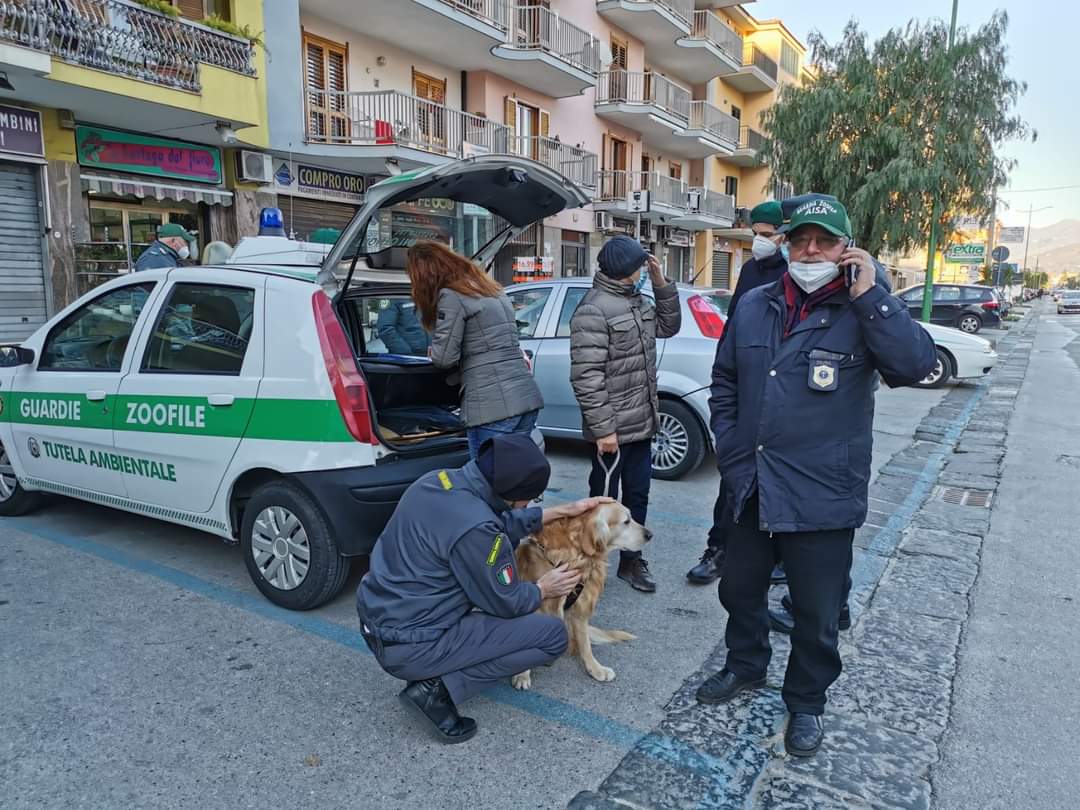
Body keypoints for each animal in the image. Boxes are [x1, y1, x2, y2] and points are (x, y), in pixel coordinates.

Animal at [511, 505, 652, 686]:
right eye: (626, 521)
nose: (650, 535)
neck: (577, 556)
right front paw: (522, 674)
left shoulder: (580, 607)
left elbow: (585, 645)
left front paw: (596, 669)